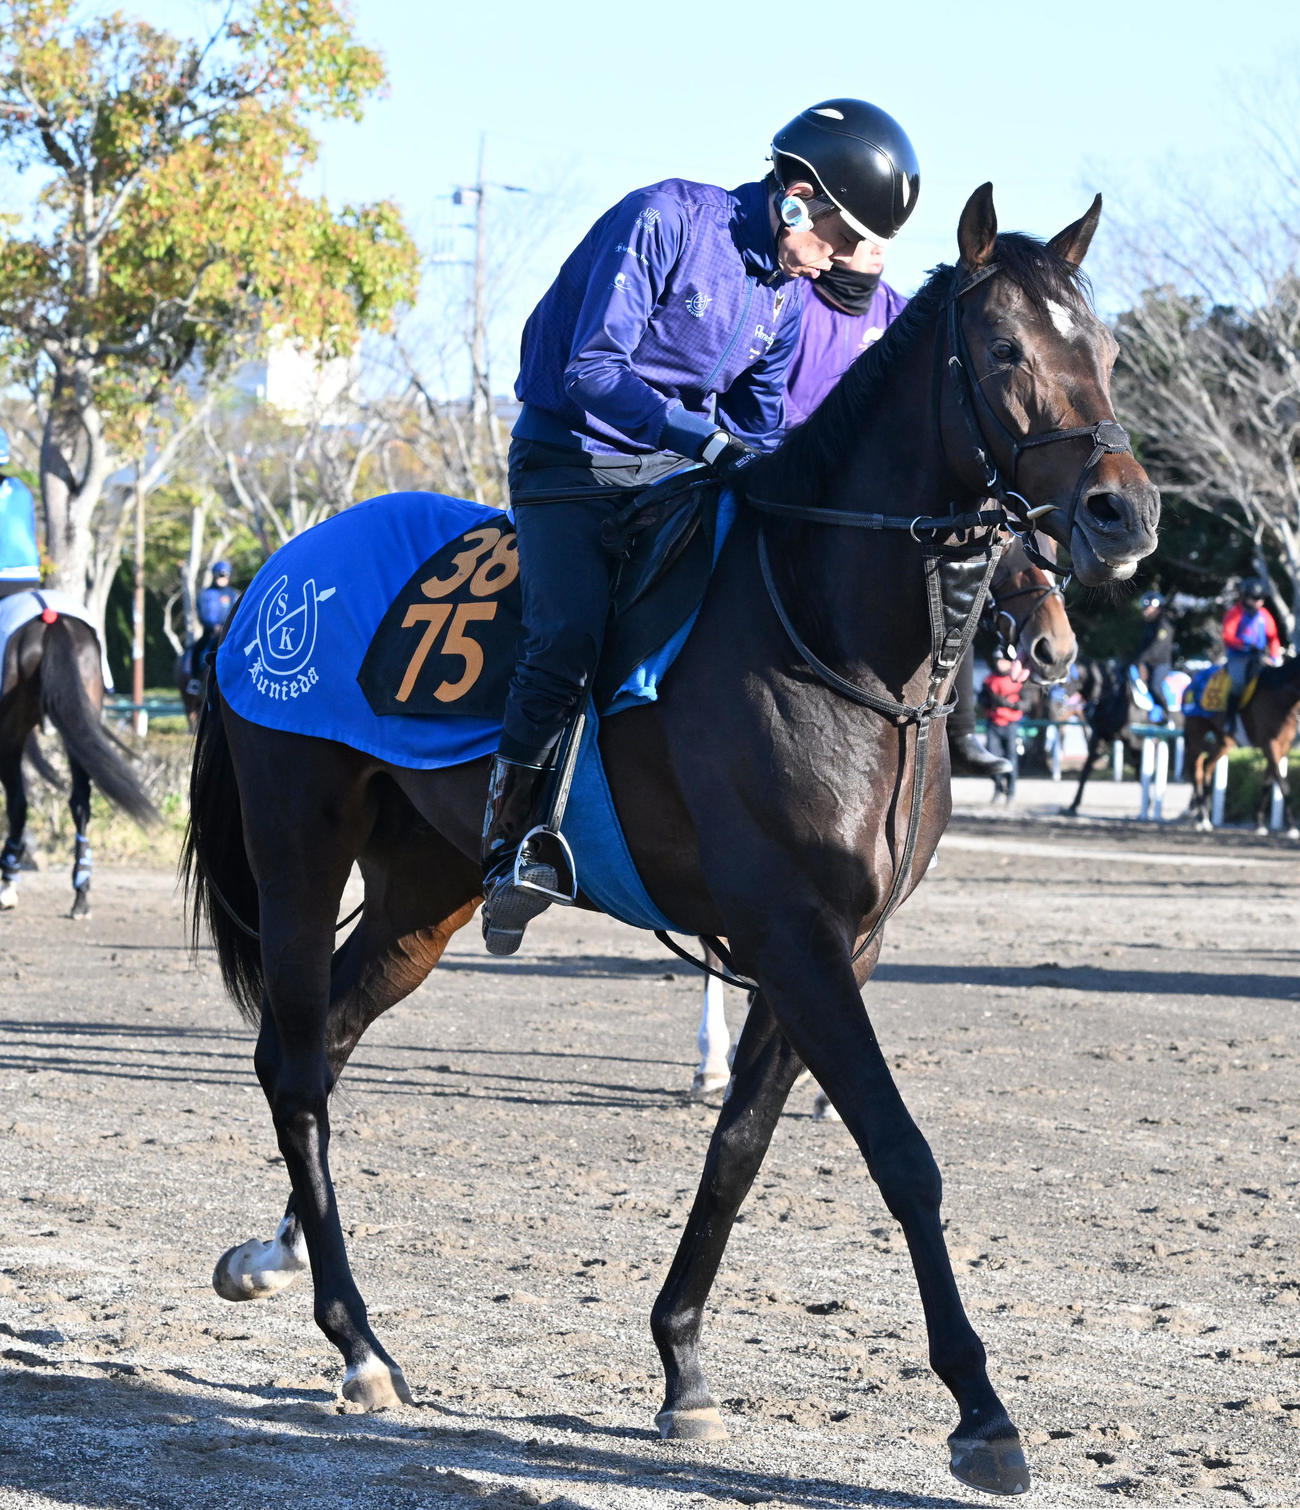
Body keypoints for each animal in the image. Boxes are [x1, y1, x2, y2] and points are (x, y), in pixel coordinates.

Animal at [0, 596, 155, 916]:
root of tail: (50, 619)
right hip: (79, 718)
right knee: (80, 802)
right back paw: (81, 892)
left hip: (12, 729)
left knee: (18, 804)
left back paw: (9, 881)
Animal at [1184, 656, 1300, 834]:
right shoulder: (1270, 744)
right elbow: (1282, 783)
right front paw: (1292, 826)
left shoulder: (1283, 746)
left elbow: (1268, 782)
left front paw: (1259, 822)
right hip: (1196, 733)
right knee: (1195, 769)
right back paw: (1201, 817)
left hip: (1224, 741)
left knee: (1206, 765)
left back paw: (1206, 817)